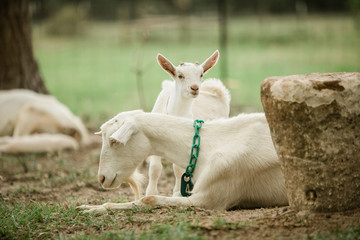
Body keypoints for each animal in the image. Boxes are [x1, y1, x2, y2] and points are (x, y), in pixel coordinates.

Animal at [80, 109, 288, 213]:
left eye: (114, 141)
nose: (102, 178)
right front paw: (89, 206)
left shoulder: (211, 198)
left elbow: (149, 198)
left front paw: (93, 210)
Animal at [146, 50, 231, 197]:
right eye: (180, 75)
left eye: (201, 74)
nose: (195, 88)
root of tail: (219, 95)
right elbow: (155, 168)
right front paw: (150, 194)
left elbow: (178, 169)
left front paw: (177, 193)